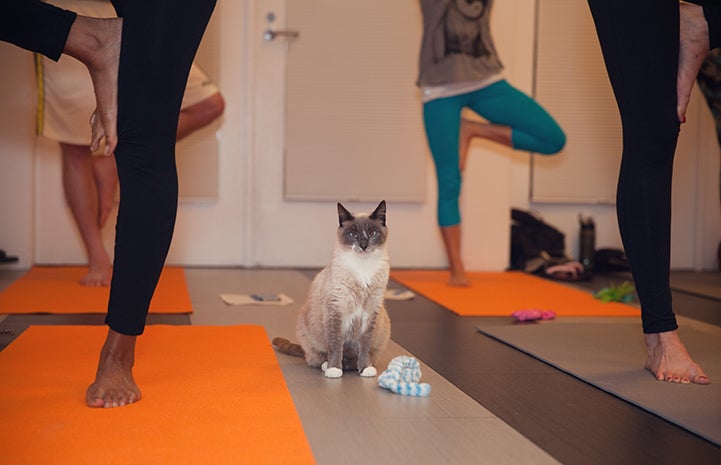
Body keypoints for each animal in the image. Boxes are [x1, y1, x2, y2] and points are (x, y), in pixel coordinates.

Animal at [272, 199, 390, 376]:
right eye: (352, 235)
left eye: (372, 234)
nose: (363, 245)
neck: (363, 266)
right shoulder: (335, 310)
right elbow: (335, 345)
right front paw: (334, 369)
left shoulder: (370, 314)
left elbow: (364, 347)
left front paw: (365, 369)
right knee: (318, 357)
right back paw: (329, 366)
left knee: (358, 358)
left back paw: (361, 366)